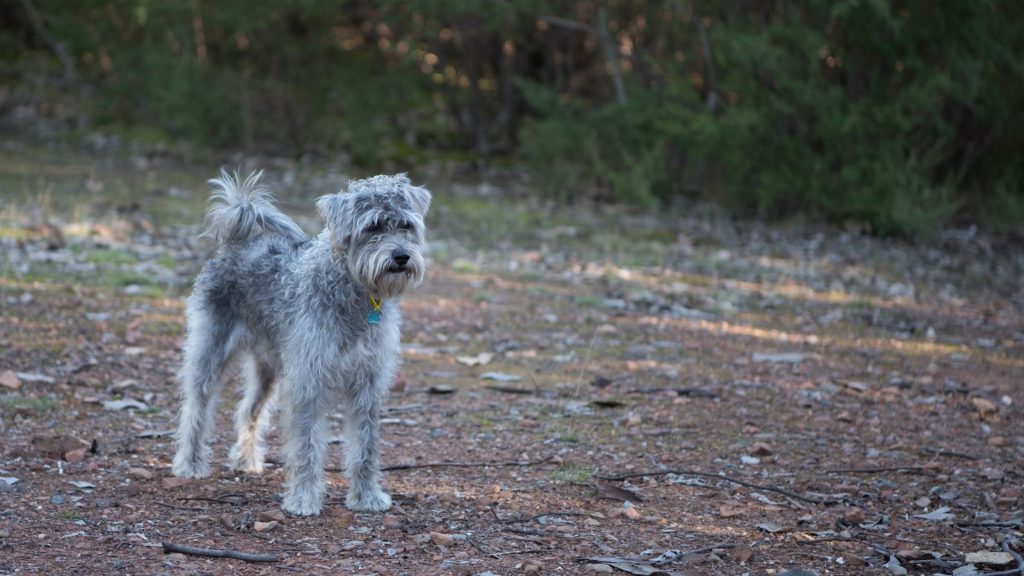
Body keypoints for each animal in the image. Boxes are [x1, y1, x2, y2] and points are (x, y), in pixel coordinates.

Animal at [172, 168, 428, 512]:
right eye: (372, 226)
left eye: (406, 225)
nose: (401, 256)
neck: (354, 294)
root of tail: (239, 241)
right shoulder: (309, 381)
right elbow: (307, 445)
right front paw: (304, 498)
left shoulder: (367, 382)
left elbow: (365, 446)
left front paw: (367, 497)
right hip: (210, 351)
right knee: (196, 408)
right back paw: (190, 462)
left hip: (268, 367)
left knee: (249, 410)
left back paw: (246, 460)